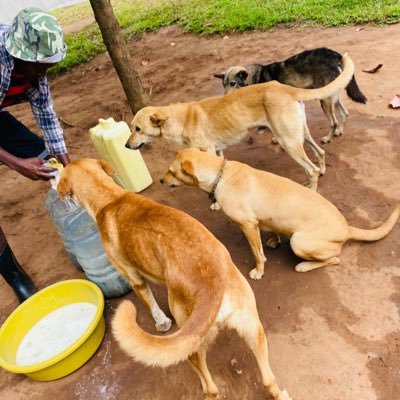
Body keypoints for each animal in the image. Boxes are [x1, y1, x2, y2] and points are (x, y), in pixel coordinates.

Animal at [57, 158, 290, 400]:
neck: (110, 199)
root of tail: (214, 282)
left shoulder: (133, 278)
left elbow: (151, 305)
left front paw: (161, 323)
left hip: (190, 346)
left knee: (211, 389)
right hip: (254, 330)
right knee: (268, 380)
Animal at [126, 53, 354, 191]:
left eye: (138, 129)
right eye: (131, 128)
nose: (126, 145)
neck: (181, 118)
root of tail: (285, 88)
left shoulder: (208, 152)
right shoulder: (217, 151)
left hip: (288, 142)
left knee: (311, 168)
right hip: (300, 135)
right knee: (320, 152)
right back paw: (321, 169)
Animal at [160, 148, 400, 280]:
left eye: (171, 171)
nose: (161, 180)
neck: (221, 174)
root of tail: (346, 228)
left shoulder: (248, 225)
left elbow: (257, 254)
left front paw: (259, 271)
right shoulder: (261, 220)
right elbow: (271, 229)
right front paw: (273, 240)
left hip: (299, 242)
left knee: (334, 259)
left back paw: (304, 266)